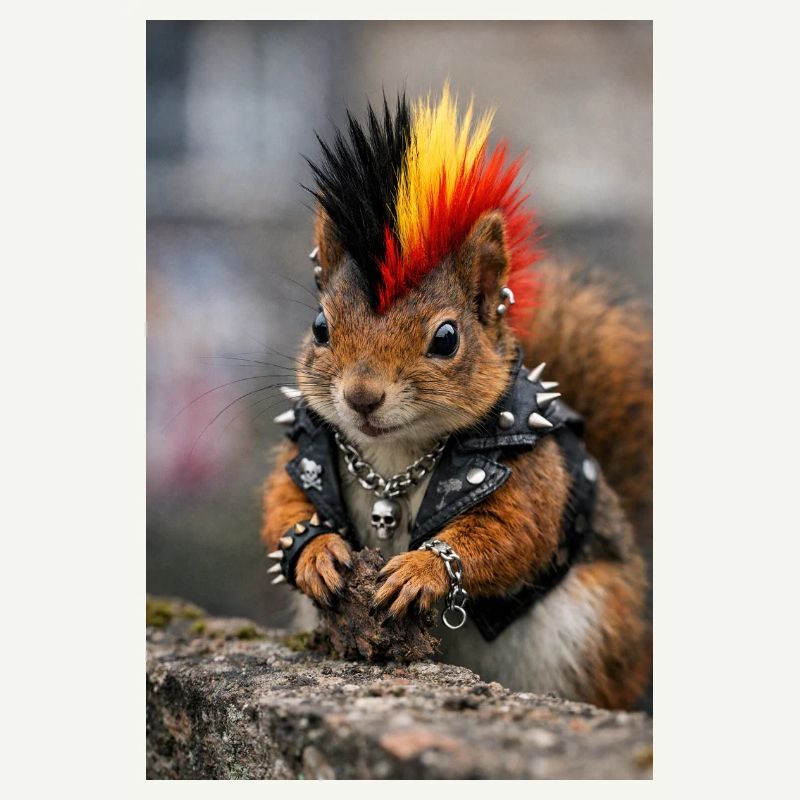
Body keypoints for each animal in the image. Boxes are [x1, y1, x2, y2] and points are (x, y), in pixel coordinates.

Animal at [261, 86, 652, 710]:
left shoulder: (531, 472)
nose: (362, 396)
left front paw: (423, 569)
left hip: (592, 635)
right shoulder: (308, 444)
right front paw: (317, 551)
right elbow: (283, 503)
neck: (395, 457)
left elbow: (511, 531)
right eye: (320, 326)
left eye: (446, 338)